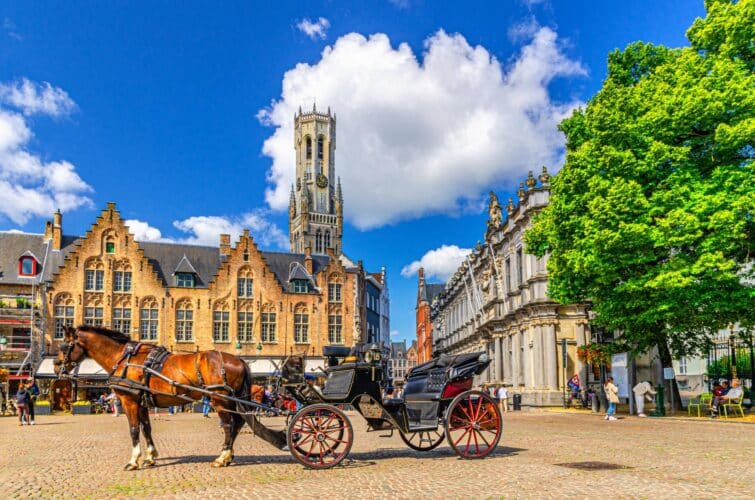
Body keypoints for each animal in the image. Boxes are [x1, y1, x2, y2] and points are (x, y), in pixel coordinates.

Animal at [57, 326, 251, 470]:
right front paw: (150, 457)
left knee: (228, 426)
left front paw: (133, 461)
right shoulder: (142, 403)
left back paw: (222, 457)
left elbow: (134, 429)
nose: (56, 365)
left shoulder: (129, 401)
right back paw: (229, 456)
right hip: (230, 400)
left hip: (219, 400)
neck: (122, 358)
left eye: (65, 346)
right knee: (238, 423)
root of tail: (240, 360)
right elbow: (146, 429)